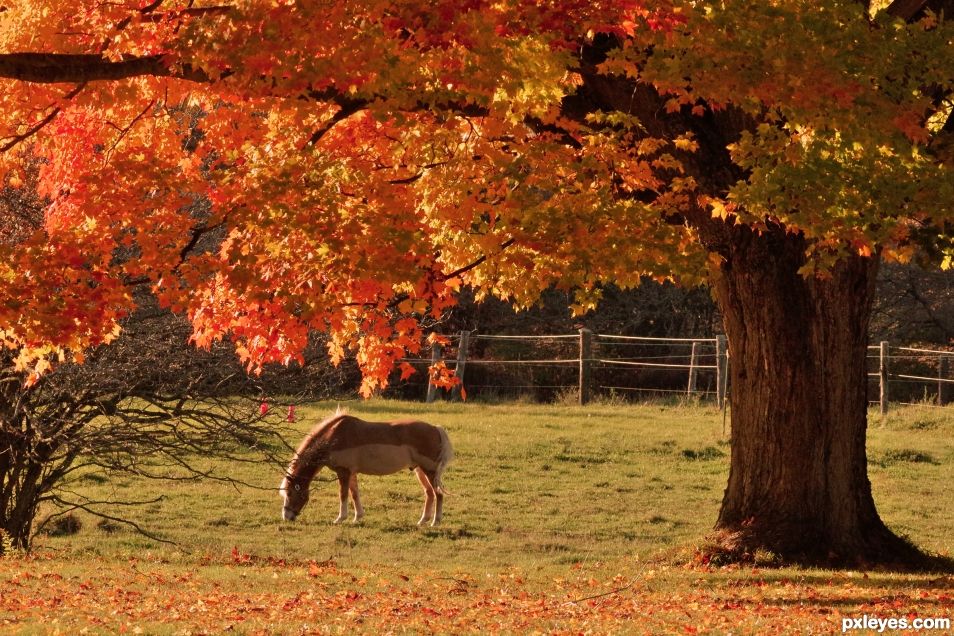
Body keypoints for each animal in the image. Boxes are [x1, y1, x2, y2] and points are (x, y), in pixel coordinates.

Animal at [278, 412, 454, 528]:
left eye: (290, 493)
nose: (286, 517)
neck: (333, 437)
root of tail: (435, 429)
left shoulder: (343, 472)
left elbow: (343, 494)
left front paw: (340, 518)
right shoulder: (352, 473)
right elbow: (354, 493)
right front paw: (357, 517)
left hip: (429, 471)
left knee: (438, 494)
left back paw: (435, 522)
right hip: (420, 471)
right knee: (429, 493)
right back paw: (422, 521)